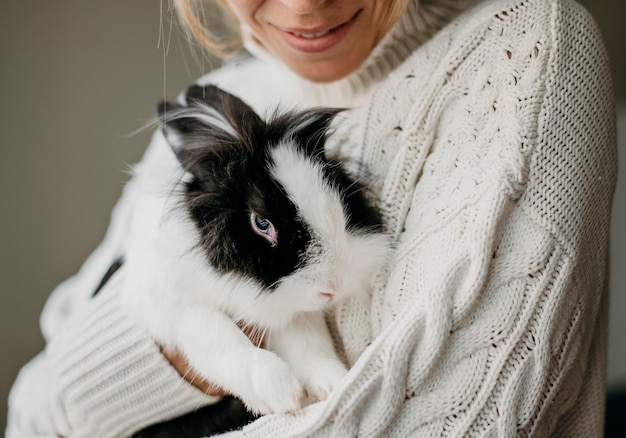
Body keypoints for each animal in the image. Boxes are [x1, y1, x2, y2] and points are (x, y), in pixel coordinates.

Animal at [103, 84, 386, 434]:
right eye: (262, 223)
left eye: (338, 188)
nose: (333, 287)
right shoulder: (175, 307)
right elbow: (220, 338)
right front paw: (280, 392)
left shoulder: (288, 310)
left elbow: (308, 341)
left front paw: (334, 383)